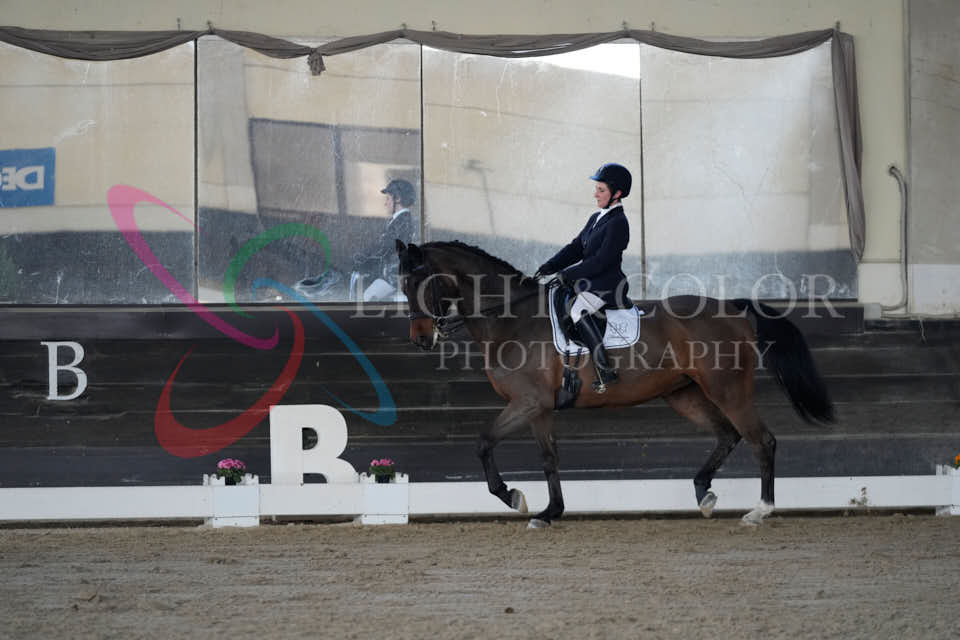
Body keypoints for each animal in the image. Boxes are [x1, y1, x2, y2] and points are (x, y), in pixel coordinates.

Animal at [395, 239, 834, 527]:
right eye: (402, 286)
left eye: (421, 283)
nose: (420, 339)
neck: (510, 318)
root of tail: (733, 309)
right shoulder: (539, 408)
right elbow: (549, 458)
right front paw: (550, 512)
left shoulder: (526, 402)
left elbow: (483, 442)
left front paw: (513, 496)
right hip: (683, 394)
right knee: (727, 435)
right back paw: (704, 493)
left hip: (728, 389)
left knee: (762, 440)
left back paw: (760, 510)